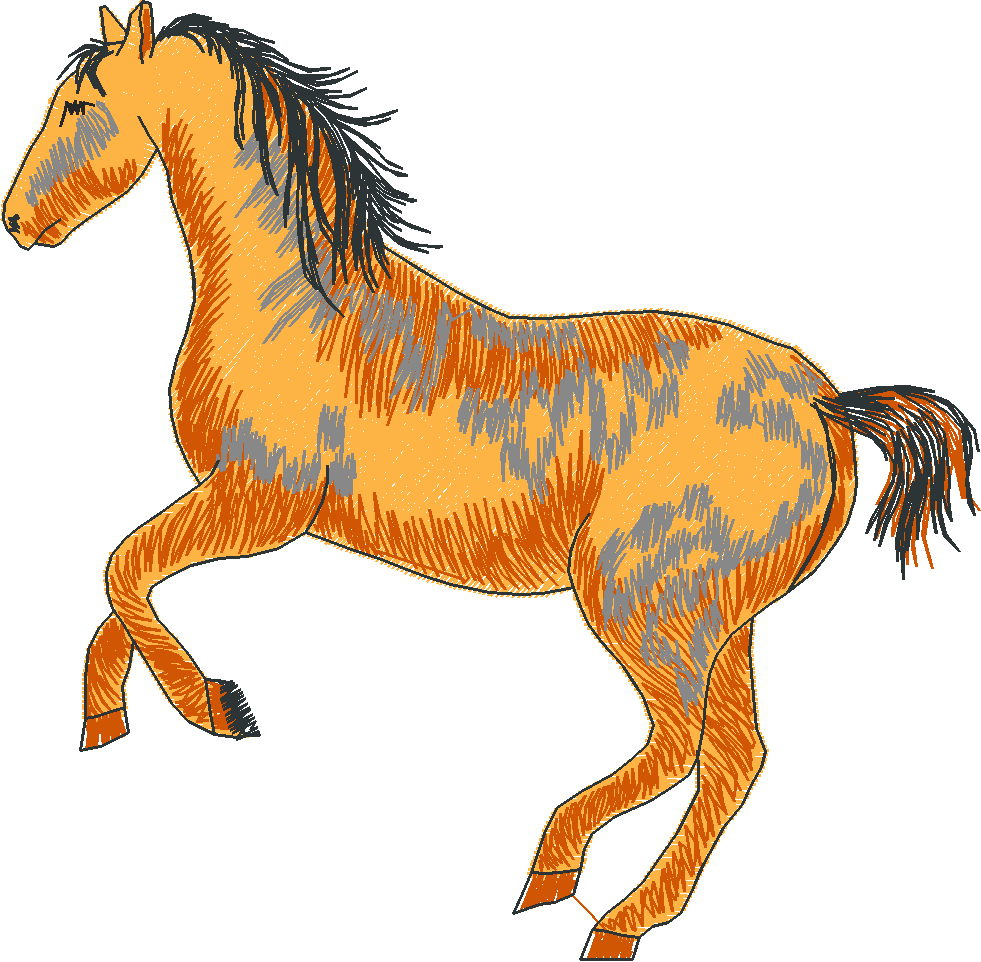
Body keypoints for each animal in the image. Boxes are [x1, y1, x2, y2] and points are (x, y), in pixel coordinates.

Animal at [5, 6, 976, 959]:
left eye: (78, 107)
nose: (14, 219)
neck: (294, 306)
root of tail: (822, 403)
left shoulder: (259, 503)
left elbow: (125, 568)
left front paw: (214, 708)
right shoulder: (227, 499)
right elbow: (124, 589)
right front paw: (106, 720)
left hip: (642, 605)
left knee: (681, 745)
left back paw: (560, 877)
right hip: (721, 623)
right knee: (733, 758)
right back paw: (625, 920)